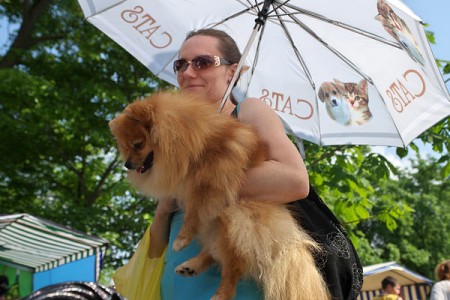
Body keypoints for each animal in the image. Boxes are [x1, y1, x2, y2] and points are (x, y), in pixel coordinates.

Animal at [107, 92, 328, 300]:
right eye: (124, 148)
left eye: (138, 144)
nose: (127, 164)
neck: (194, 142)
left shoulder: (211, 181)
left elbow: (194, 212)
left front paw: (181, 238)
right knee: (215, 251)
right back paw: (191, 266)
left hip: (236, 217)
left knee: (233, 265)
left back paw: (220, 293)